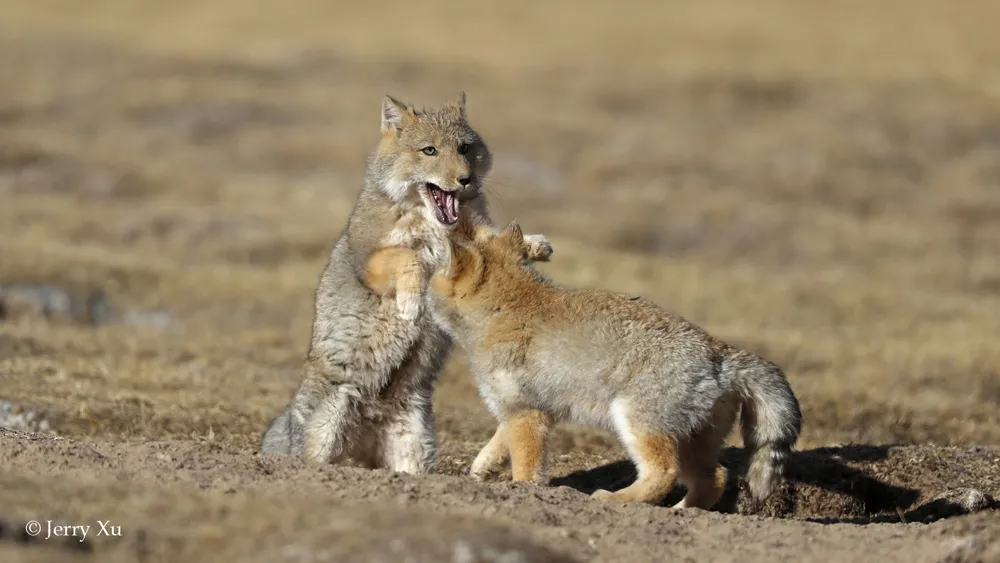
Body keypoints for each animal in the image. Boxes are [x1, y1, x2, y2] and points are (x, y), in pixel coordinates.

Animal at [260, 93, 556, 476]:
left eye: (464, 148)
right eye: (430, 151)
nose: (465, 179)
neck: (435, 226)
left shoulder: (469, 244)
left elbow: (495, 236)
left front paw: (534, 245)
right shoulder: (371, 259)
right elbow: (408, 258)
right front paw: (412, 303)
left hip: (414, 450)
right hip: (326, 433)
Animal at [432, 223, 804, 508]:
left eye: (433, 276)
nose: (420, 290)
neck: (506, 309)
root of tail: (719, 353)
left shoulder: (527, 414)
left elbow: (526, 466)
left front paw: (522, 491)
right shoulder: (520, 408)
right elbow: (496, 445)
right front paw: (480, 470)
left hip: (636, 423)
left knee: (664, 474)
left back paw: (615, 499)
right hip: (693, 441)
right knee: (715, 477)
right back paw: (681, 512)